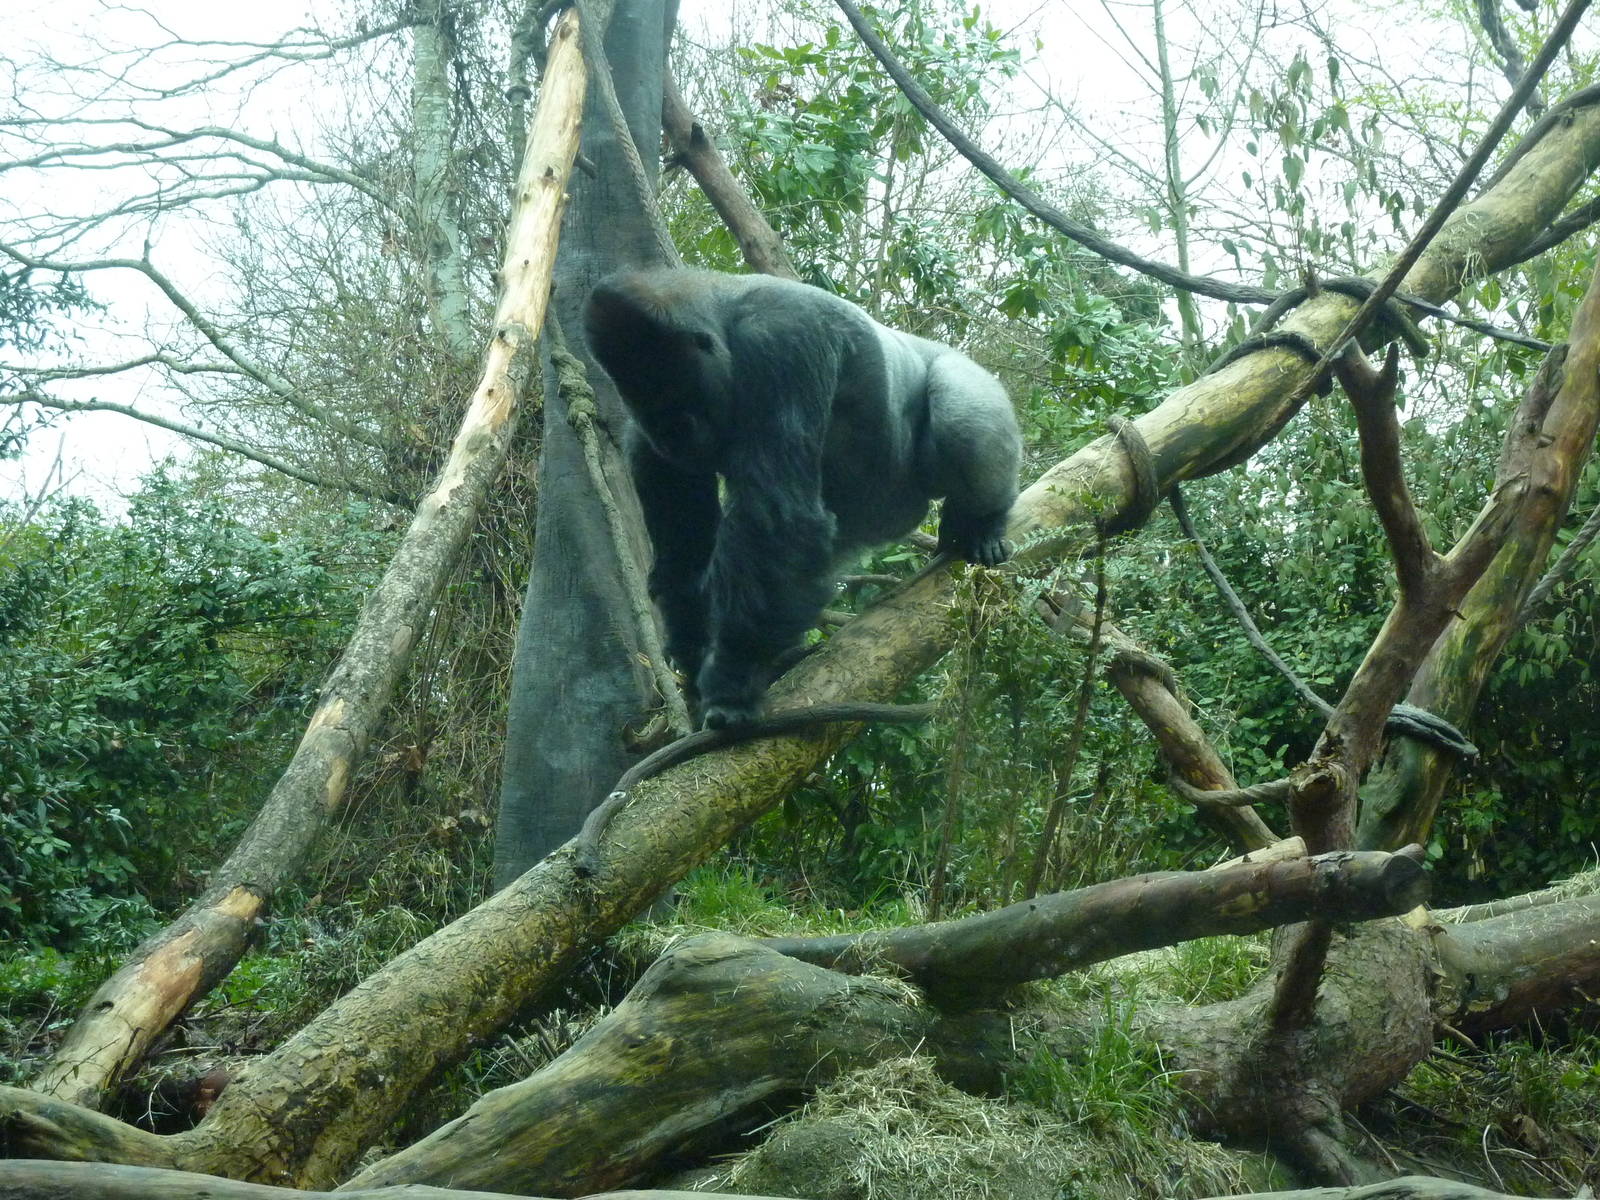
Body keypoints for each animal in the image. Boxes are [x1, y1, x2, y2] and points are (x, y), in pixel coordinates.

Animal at [583, 267, 1021, 730]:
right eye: (644, 401)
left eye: (673, 394)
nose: (672, 436)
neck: (725, 312)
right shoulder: (645, 444)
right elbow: (685, 554)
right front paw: (694, 659)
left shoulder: (781, 342)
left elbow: (778, 520)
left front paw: (733, 678)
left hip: (965, 378)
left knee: (960, 413)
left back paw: (982, 523)